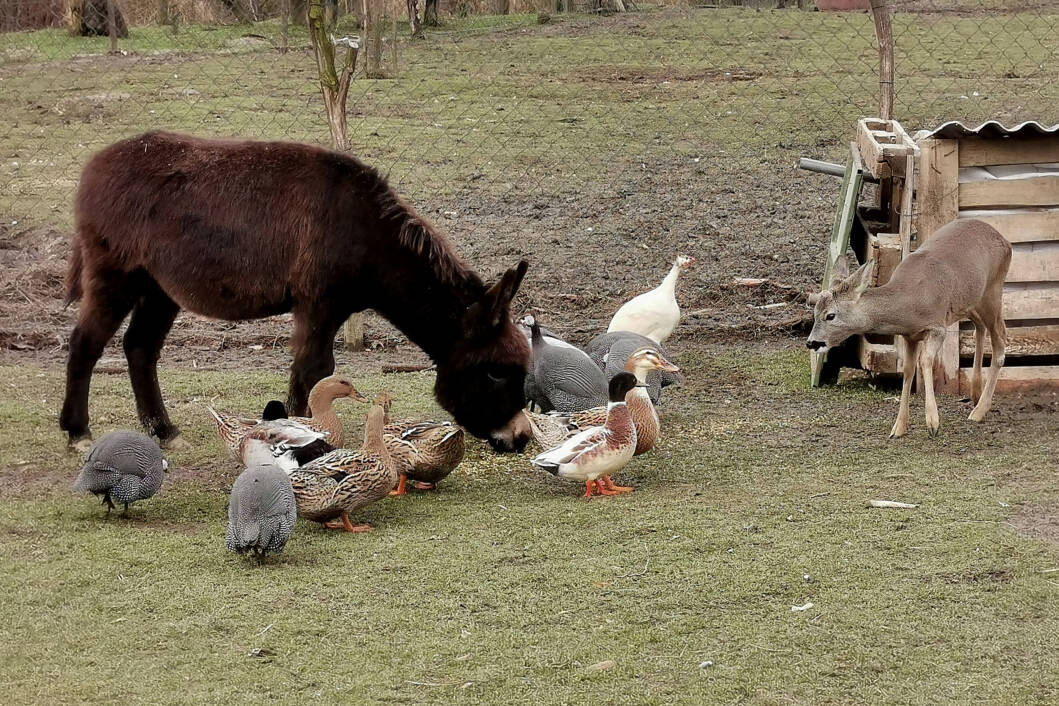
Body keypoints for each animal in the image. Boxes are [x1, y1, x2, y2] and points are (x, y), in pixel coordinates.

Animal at [804, 218, 1012, 438]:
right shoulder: (909, 335)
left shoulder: (937, 326)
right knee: (979, 328)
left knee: (1000, 339)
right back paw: (975, 394)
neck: (909, 302)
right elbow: (908, 369)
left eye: (830, 315)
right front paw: (898, 428)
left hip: (993, 290)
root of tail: (1004, 240)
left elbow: (926, 360)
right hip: (970, 302)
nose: (811, 342)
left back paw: (979, 411)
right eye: (814, 312)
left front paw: (932, 423)